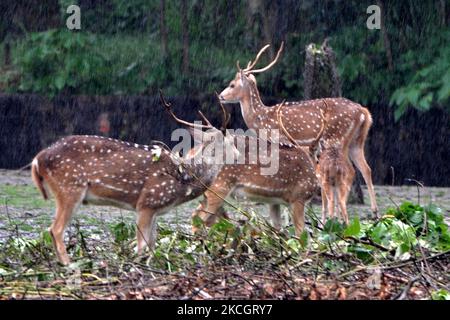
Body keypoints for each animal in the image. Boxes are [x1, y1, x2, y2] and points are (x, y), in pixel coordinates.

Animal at [217, 43, 376, 218]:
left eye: (232, 84)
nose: (220, 96)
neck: (262, 119)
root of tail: (364, 112)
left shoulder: (280, 141)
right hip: (356, 142)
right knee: (366, 169)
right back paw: (374, 212)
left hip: (337, 139)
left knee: (349, 170)